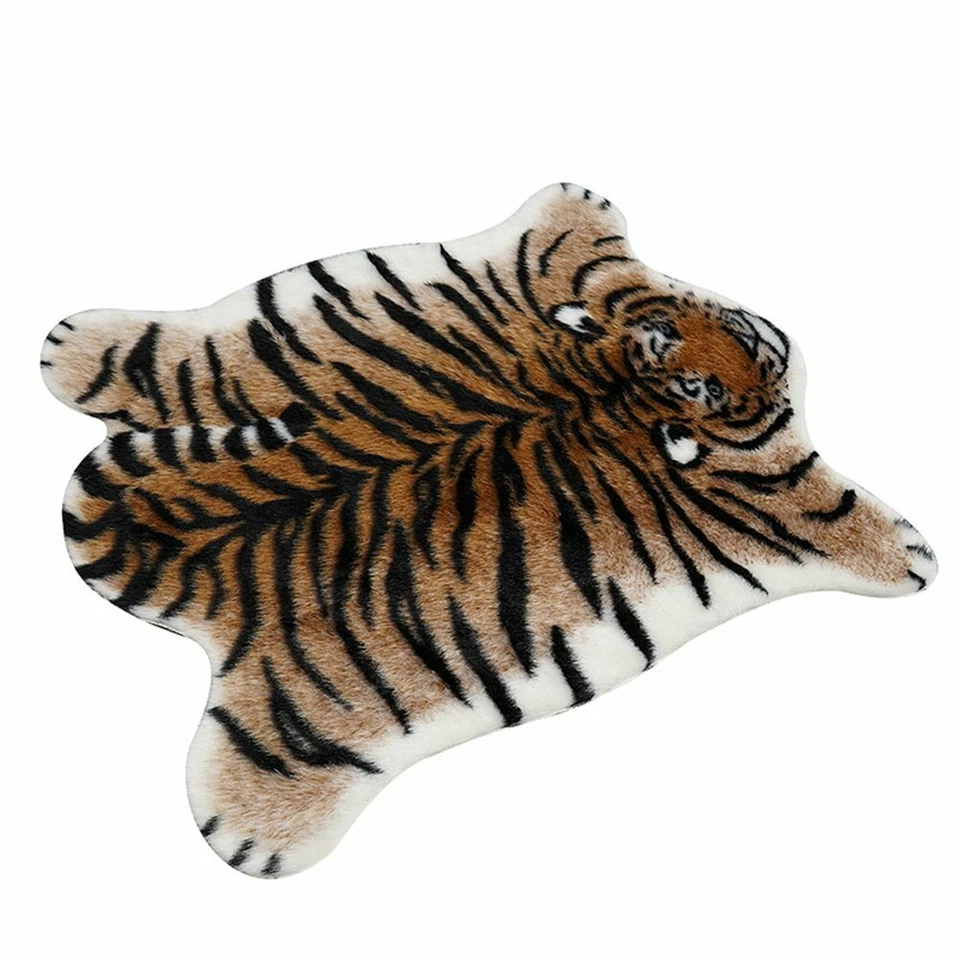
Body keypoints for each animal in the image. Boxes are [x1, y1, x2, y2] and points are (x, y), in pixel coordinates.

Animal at [41, 183, 937, 878]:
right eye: (723, 364)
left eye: (719, 341)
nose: (772, 333)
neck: (626, 387)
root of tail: (198, 541)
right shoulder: (779, 489)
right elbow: (841, 512)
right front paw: (914, 553)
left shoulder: (543, 277)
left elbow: (575, 249)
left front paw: (578, 205)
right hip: (308, 717)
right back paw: (256, 837)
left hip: (227, 348)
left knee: (154, 353)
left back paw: (71, 345)